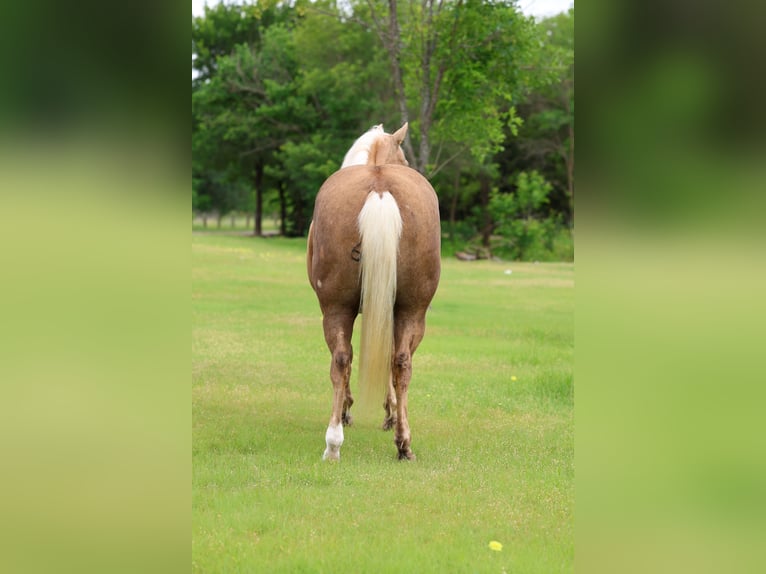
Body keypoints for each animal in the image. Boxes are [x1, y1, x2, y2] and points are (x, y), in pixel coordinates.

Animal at [306, 123, 441, 461]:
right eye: (405, 158)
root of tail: (379, 185)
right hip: (411, 309)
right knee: (400, 361)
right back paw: (402, 442)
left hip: (336, 307)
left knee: (342, 359)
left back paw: (334, 441)